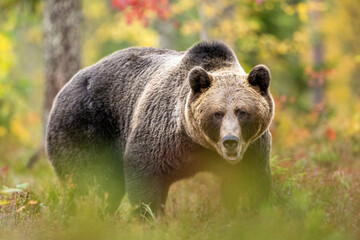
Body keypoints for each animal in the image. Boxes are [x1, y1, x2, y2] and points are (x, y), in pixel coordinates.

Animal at [46, 40, 274, 214]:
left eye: (242, 112)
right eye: (217, 113)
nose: (230, 141)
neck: (199, 143)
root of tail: (65, 86)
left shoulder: (252, 149)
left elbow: (249, 187)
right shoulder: (161, 138)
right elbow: (145, 178)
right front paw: (150, 217)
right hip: (86, 126)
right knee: (92, 182)